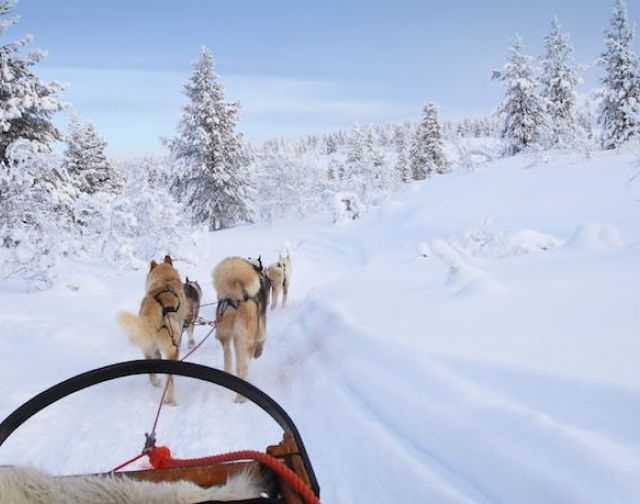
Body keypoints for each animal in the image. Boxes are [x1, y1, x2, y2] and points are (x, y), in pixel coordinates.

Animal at [116, 256, 186, 406]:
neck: (165, 279)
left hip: (147, 346)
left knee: (151, 369)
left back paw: (155, 382)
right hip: (172, 345)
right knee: (170, 380)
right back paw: (170, 400)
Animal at [211, 256, 268, 402]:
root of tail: (234, 298)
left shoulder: (236, 338)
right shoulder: (261, 325)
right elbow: (263, 337)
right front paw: (259, 351)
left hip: (225, 336)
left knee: (228, 356)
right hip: (247, 340)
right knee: (245, 365)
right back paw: (241, 397)